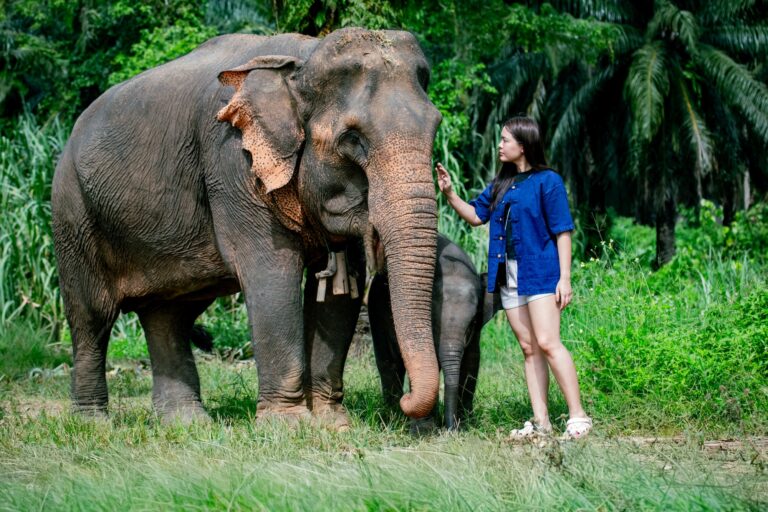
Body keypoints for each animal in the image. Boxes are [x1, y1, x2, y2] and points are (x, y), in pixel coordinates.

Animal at [51, 28, 442, 427]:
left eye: (436, 128)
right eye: (352, 139)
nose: (403, 401)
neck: (303, 60)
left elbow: (340, 290)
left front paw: (332, 425)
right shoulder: (233, 164)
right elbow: (271, 273)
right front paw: (289, 426)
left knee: (168, 314)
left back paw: (187, 423)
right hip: (73, 215)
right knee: (92, 315)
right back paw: (93, 423)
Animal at [368, 234, 501, 431]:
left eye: (472, 324)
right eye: (434, 325)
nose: (451, 430)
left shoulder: (476, 333)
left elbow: (471, 361)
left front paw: (466, 424)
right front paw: (425, 429)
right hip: (375, 311)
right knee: (388, 362)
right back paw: (394, 418)